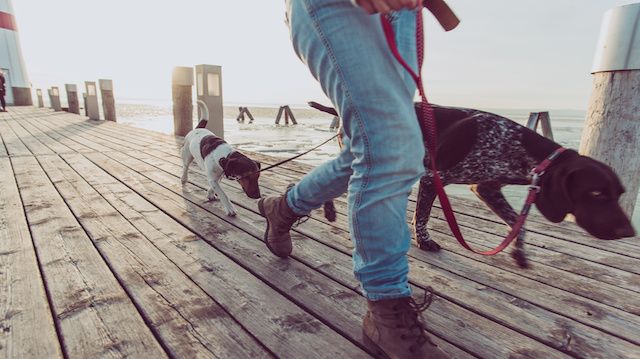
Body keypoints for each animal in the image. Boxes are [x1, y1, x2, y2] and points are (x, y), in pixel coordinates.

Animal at [310, 101, 636, 268]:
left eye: (619, 193)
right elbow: (423, 217)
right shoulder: (433, 178)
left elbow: (518, 225)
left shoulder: (487, 188)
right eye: (597, 193)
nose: (629, 232)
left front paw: (519, 253)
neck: (517, 146)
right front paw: (424, 242)